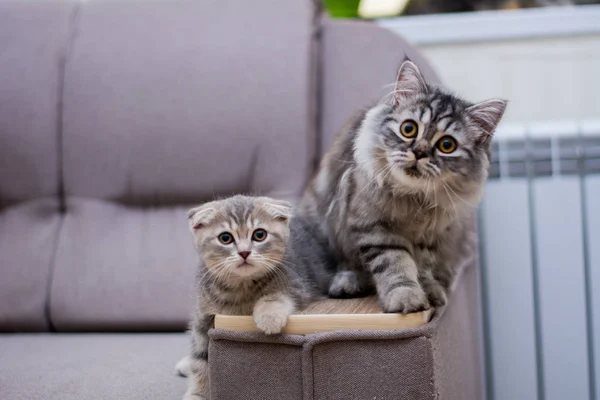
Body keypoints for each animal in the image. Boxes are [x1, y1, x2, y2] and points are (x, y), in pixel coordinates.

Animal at [179, 195, 328, 398]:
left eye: (259, 235)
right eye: (225, 238)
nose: (244, 252)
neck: (241, 289)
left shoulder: (299, 286)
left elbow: (276, 294)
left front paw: (269, 317)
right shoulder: (203, 316)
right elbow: (200, 357)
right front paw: (198, 394)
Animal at [298, 61, 504, 314]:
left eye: (447, 145)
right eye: (409, 129)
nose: (419, 152)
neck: (414, 197)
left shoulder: (430, 236)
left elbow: (423, 268)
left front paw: (430, 292)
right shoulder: (376, 227)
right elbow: (396, 266)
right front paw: (405, 298)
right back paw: (348, 283)